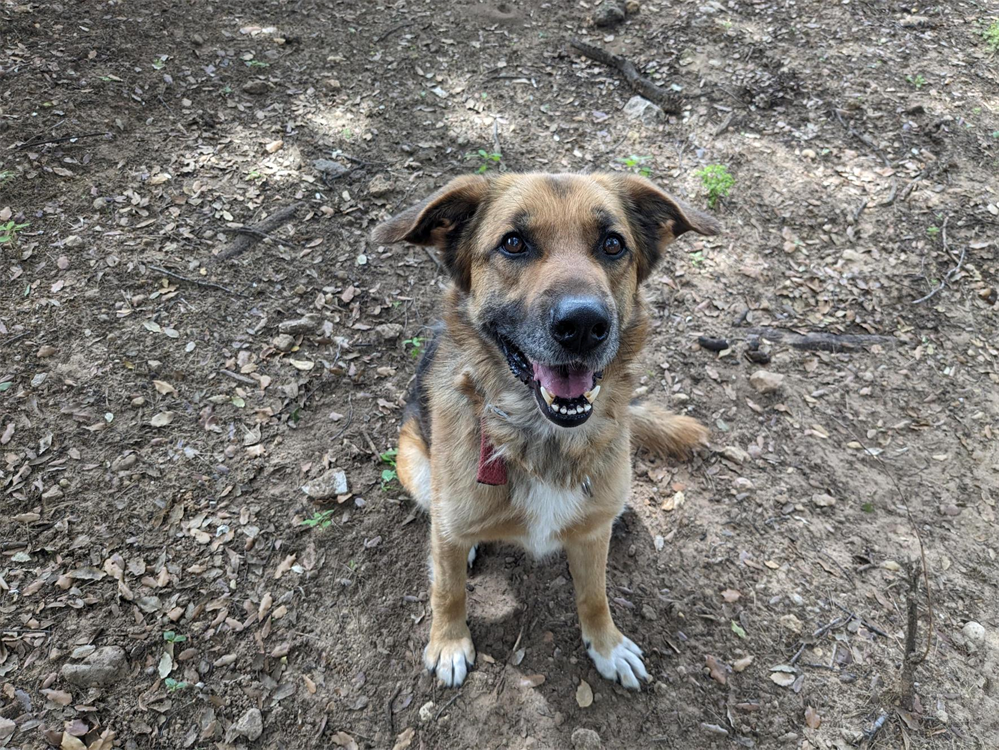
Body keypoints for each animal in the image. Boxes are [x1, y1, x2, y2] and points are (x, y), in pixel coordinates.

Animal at [372, 173, 717, 689]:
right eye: (513, 243)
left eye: (613, 244)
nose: (584, 325)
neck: (543, 437)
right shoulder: (449, 529)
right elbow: (448, 591)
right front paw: (448, 642)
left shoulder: (592, 542)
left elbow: (594, 594)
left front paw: (607, 645)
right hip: (412, 460)